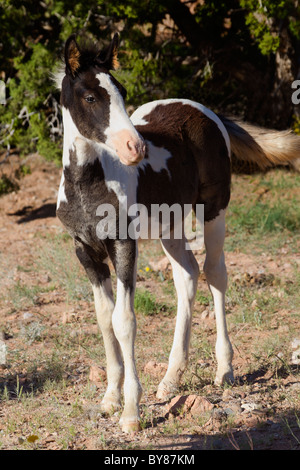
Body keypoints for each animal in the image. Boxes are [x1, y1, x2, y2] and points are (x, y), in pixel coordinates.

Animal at [55, 33, 300, 434]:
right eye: (90, 97)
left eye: (122, 91)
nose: (135, 148)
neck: (90, 182)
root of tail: (206, 111)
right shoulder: (85, 250)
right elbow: (104, 319)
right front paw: (109, 400)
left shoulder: (123, 243)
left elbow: (124, 320)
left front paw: (130, 412)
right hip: (168, 225)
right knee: (187, 275)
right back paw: (171, 378)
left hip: (214, 209)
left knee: (215, 273)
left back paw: (225, 369)